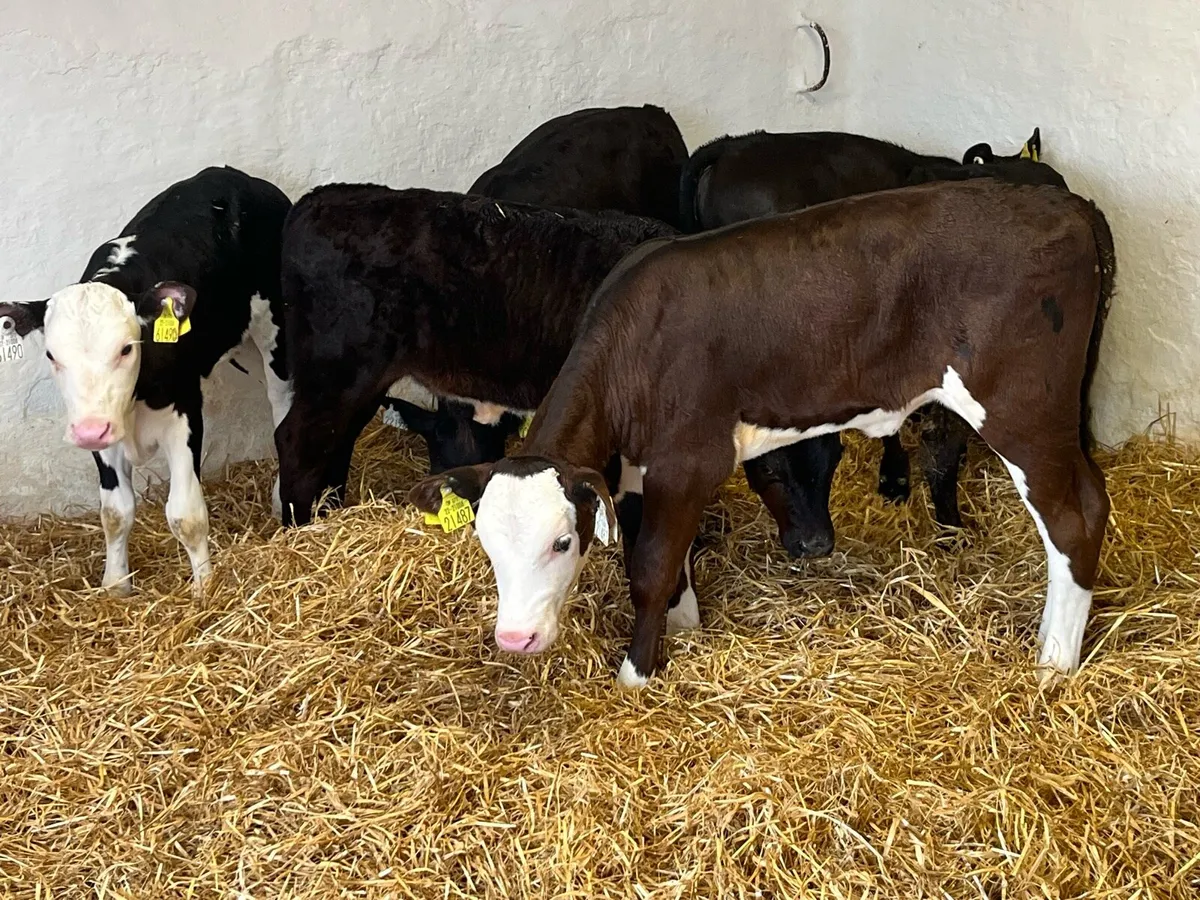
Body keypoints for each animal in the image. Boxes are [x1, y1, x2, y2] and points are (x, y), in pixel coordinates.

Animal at [0, 166, 292, 596]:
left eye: (125, 348)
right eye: (52, 355)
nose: (88, 430)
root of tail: (232, 174)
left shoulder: (183, 414)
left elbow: (186, 514)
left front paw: (205, 587)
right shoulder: (102, 428)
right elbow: (115, 511)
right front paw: (115, 585)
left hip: (276, 328)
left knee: (283, 402)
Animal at [409, 178, 1115, 690]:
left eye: (562, 543)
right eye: (486, 546)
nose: (514, 640)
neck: (634, 345)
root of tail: (1063, 203)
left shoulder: (689, 459)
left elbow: (651, 564)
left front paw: (638, 673)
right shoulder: (641, 468)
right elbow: (662, 554)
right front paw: (684, 625)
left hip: (1022, 406)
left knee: (1073, 517)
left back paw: (1055, 661)